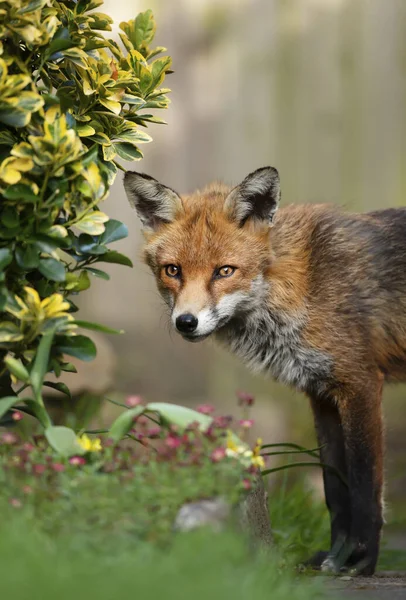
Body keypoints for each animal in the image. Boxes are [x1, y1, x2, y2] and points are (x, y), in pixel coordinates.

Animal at [123, 165, 402, 576]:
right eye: (172, 270)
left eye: (224, 271)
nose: (185, 322)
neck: (299, 285)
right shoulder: (321, 393)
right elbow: (335, 490)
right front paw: (335, 555)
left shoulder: (360, 384)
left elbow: (365, 485)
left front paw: (361, 560)